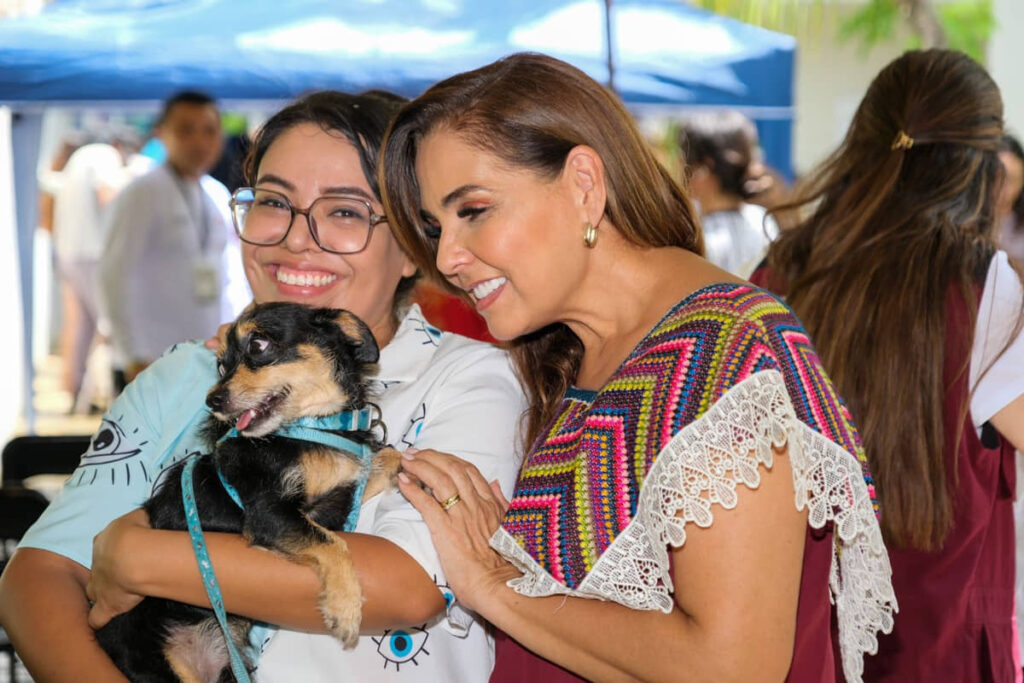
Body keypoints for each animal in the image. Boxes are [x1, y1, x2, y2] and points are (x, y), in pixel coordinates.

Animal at [95, 305, 399, 683]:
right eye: (221, 365)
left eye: (258, 345)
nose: (212, 401)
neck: (310, 427)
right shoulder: (269, 515)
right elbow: (334, 545)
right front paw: (344, 607)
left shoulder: (335, 503)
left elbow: (387, 461)